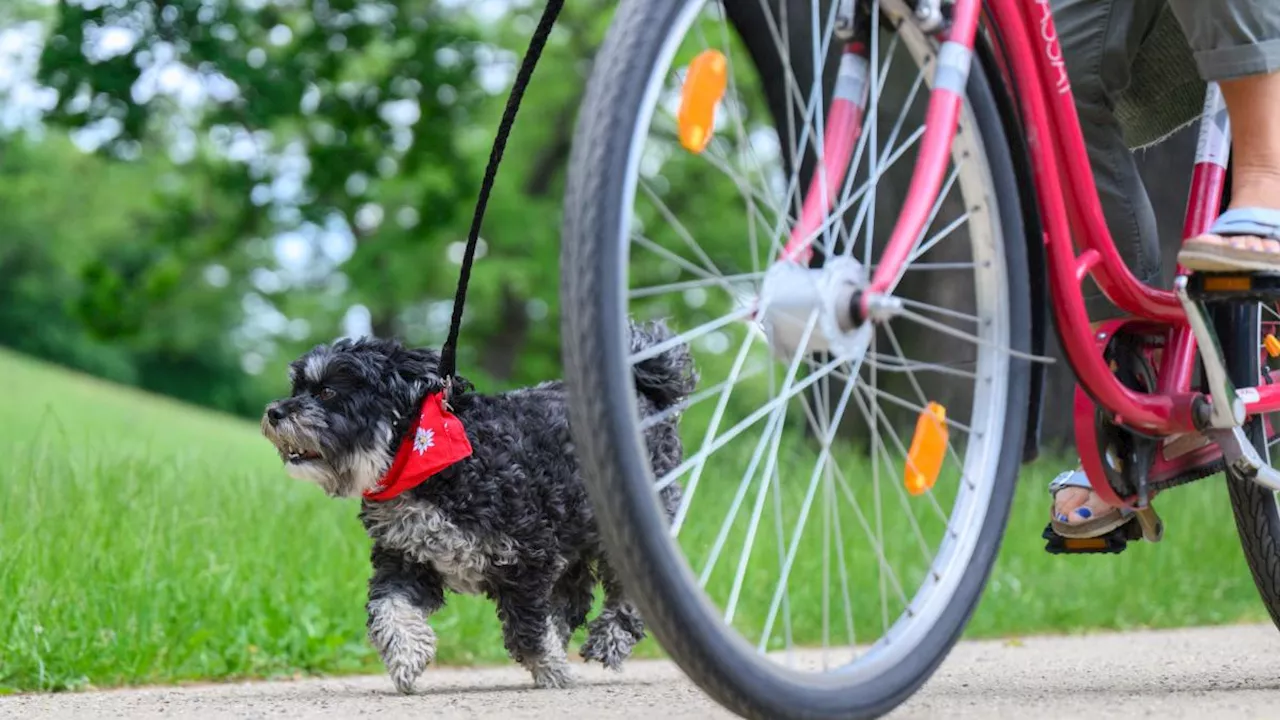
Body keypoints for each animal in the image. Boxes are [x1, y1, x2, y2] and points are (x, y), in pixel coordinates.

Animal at [262, 319, 701, 691]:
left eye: (327, 392)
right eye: (298, 387)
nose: (274, 411)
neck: (425, 463)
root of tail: (646, 390)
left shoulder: (529, 555)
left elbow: (527, 629)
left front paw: (550, 668)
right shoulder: (407, 559)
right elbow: (388, 608)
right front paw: (407, 655)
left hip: (625, 530)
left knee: (627, 595)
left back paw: (610, 639)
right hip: (572, 539)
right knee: (574, 599)